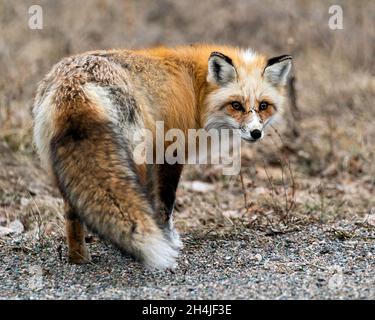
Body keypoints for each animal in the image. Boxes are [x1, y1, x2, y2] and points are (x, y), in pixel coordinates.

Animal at [32, 44, 292, 270]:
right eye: (236, 105)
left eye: (263, 106)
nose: (256, 133)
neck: (197, 89)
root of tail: (74, 81)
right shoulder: (171, 152)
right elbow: (166, 203)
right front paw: (169, 239)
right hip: (133, 160)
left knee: (73, 213)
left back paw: (79, 258)